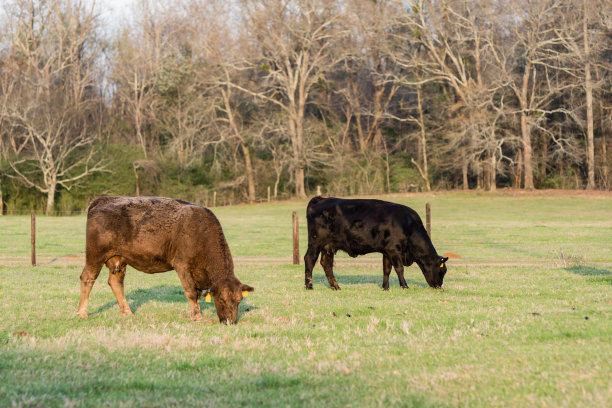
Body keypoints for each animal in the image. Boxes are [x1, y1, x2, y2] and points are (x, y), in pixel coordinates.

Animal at [76, 196, 253, 324]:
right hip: (95, 255)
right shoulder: (182, 265)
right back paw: (82, 313)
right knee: (88, 278)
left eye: (239, 300)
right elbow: (191, 292)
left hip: (119, 259)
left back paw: (127, 313)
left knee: (116, 282)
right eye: (221, 299)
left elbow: (197, 293)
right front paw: (197, 317)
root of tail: (103, 199)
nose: (230, 321)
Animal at [306, 197, 450, 290]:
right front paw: (404, 286)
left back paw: (335, 286)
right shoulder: (393, 249)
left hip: (328, 246)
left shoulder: (386, 250)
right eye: (443, 270)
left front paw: (385, 287)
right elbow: (399, 268)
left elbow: (386, 269)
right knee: (309, 259)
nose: (439, 287)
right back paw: (309, 285)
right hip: (315, 242)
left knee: (326, 264)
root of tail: (321, 199)